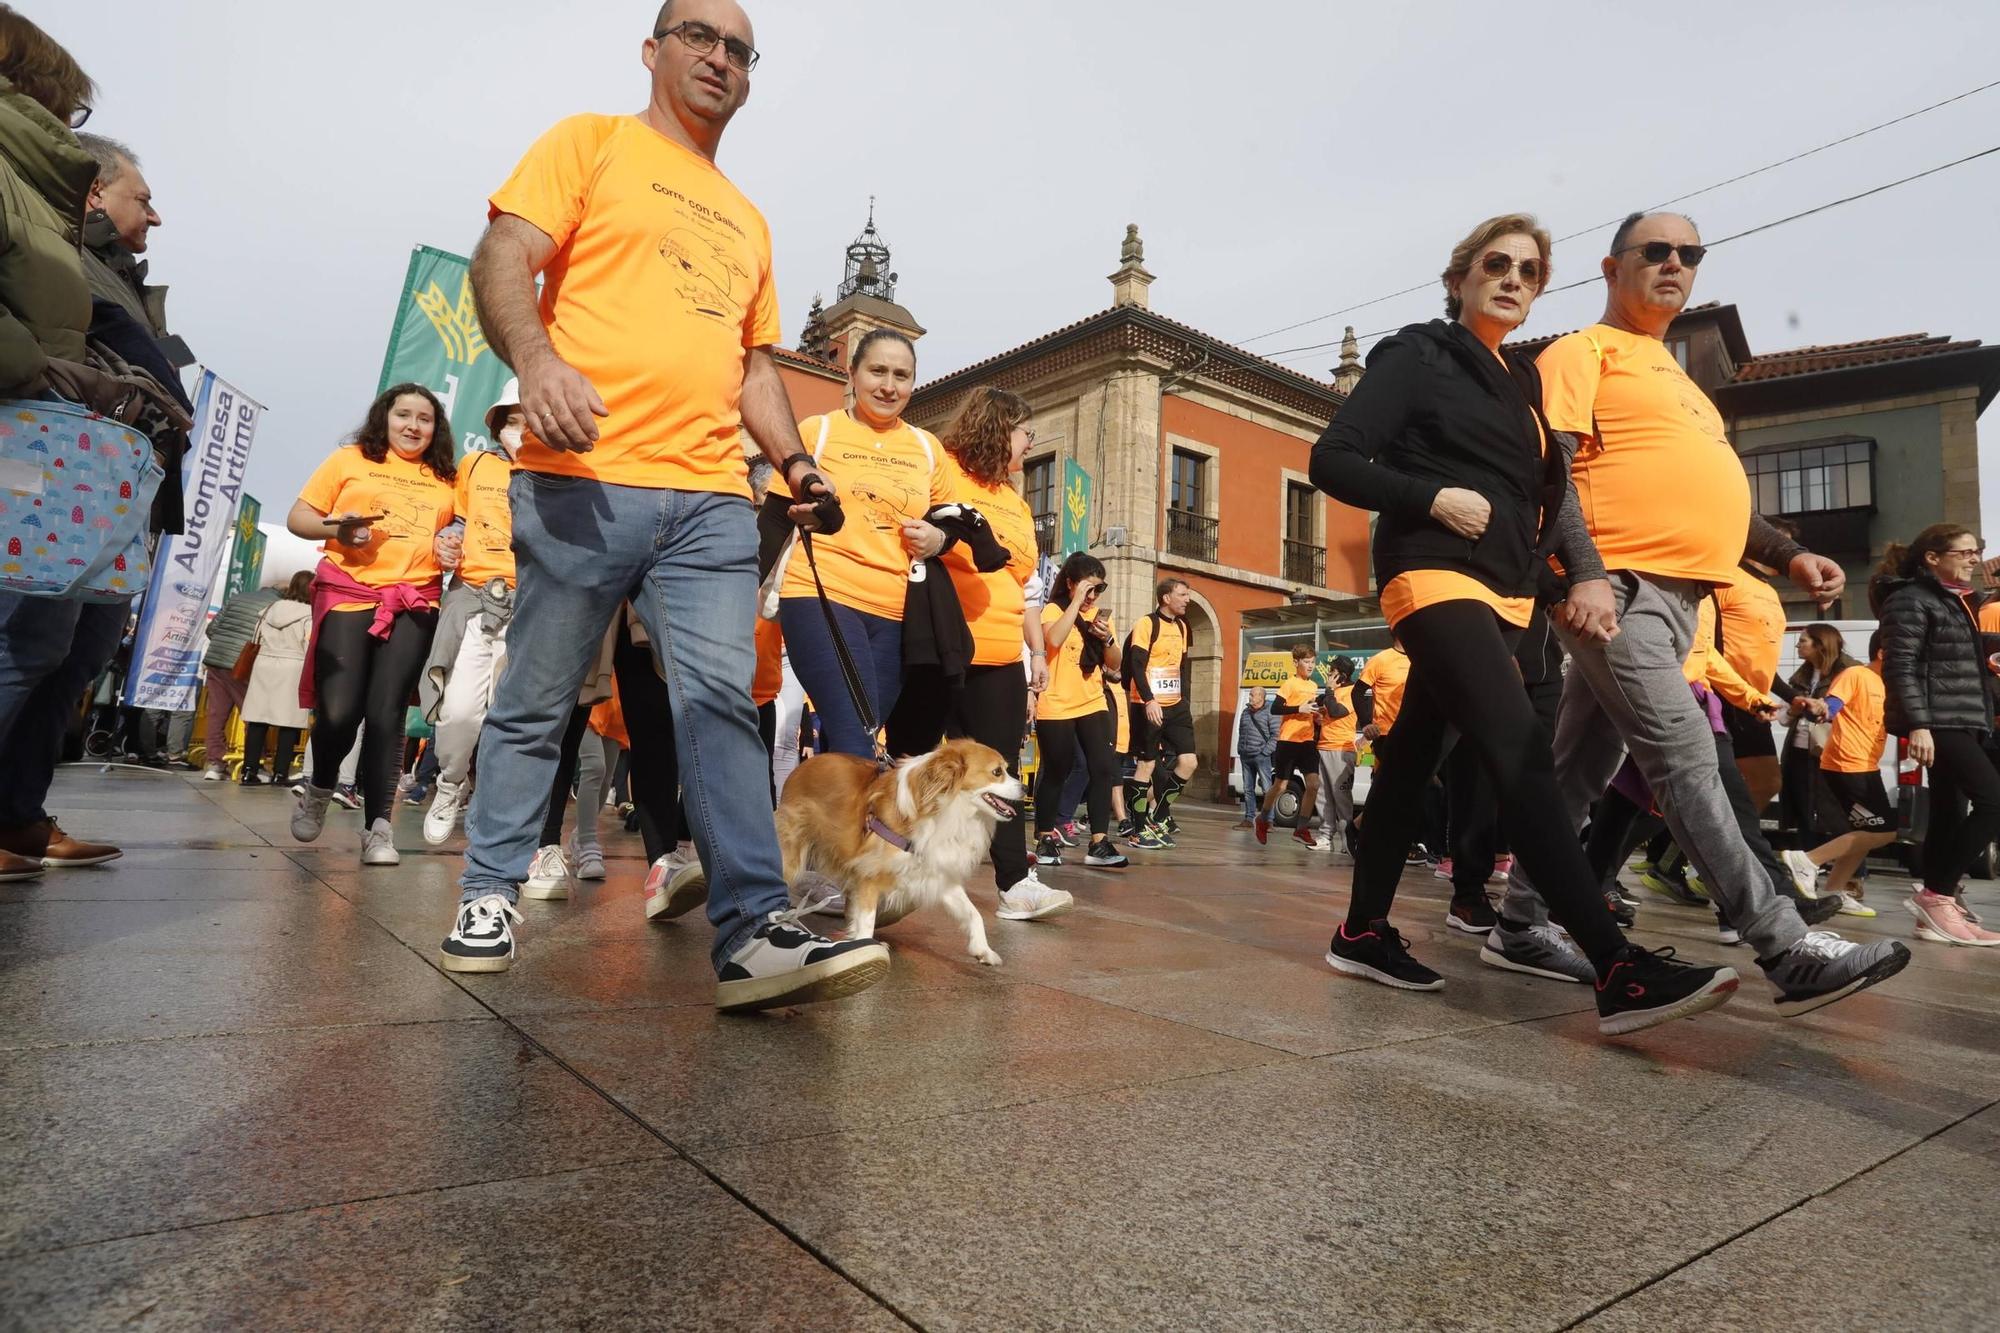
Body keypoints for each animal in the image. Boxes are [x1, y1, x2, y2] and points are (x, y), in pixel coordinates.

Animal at [776, 736, 1024, 964]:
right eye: (997, 772)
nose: (1024, 787)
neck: (944, 806)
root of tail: (801, 766)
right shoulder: (868, 873)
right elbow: (867, 919)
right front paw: (864, 947)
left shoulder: (937, 873)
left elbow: (973, 914)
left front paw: (983, 950)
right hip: (791, 855)